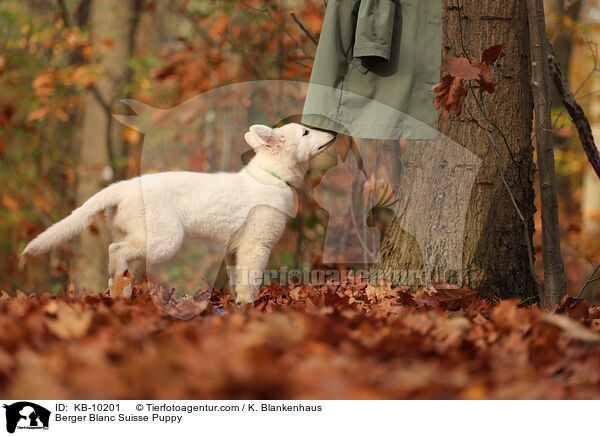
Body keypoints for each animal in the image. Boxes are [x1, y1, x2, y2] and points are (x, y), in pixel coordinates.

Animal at [23, 122, 336, 304]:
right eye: (306, 132)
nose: (334, 133)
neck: (272, 176)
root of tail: (122, 187)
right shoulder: (256, 245)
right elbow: (250, 282)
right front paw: (249, 308)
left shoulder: (234, 250)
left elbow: (236, 282)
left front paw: (236, 306)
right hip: (164, 239)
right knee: (115, 251)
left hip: (138, 236)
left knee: (118, 263)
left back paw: (120, 293)